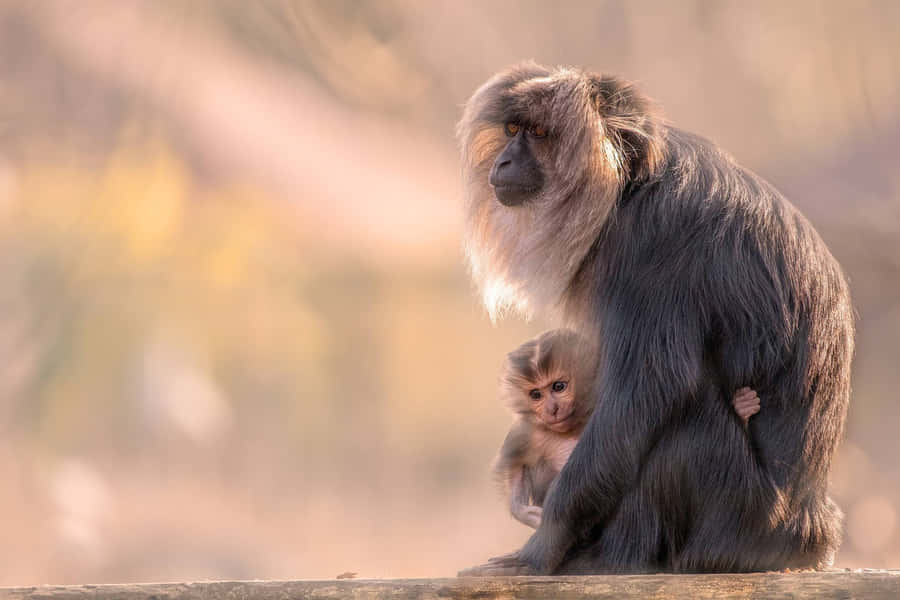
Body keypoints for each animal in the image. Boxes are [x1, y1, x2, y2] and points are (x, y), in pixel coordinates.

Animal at [495, 330, 761, 530]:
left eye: (558, 387)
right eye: (536, 395)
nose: (552, 410)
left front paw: (741, 408)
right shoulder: (528, 433)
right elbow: (514, 466)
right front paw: (526, 513)